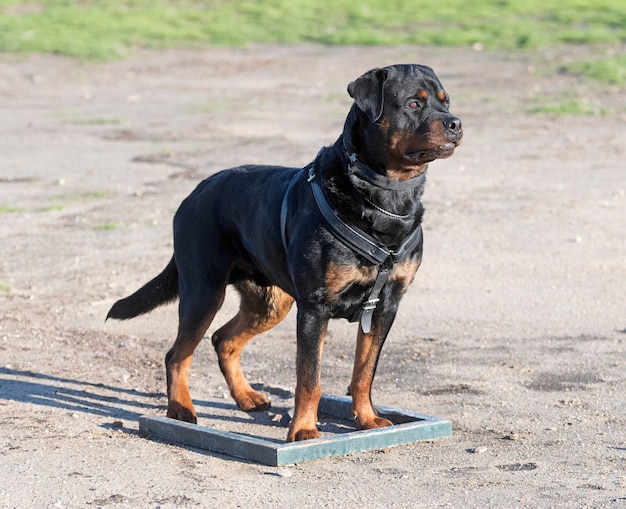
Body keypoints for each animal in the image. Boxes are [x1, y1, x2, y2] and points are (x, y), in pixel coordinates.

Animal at [106, 64, 458, 440]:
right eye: (413, 103)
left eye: (445, 101)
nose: (455, 123)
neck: (384, 198)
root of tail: (193, 193)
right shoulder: (315, 308)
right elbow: (309, 379)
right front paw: (303, 430)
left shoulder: (385, 305)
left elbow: (364, 374)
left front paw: (366, 419)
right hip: (203, 291)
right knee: (177, 355)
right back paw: (180, 409)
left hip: (271, 301)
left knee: (223, 340)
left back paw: (246, 396)